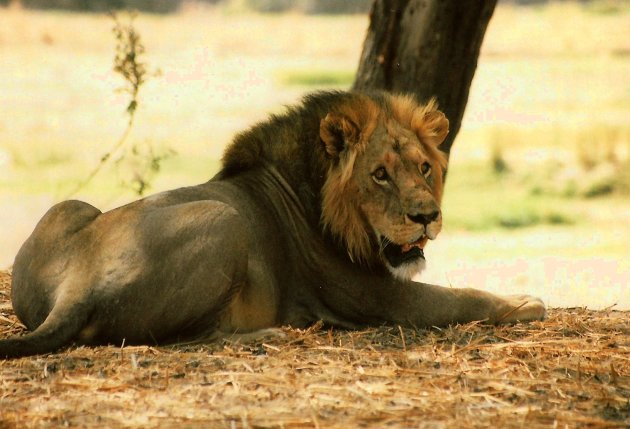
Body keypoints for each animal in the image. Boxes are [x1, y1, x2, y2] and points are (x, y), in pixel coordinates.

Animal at [0, 91, 544, 358]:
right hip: (226, 220)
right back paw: (271, 335)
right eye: (380, 174)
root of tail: (75, 287)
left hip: (67, 207)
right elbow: (461, 298)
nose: (427, 217)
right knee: (189, 339)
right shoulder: (376, 298)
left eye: (425, 167)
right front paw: (526, 303)